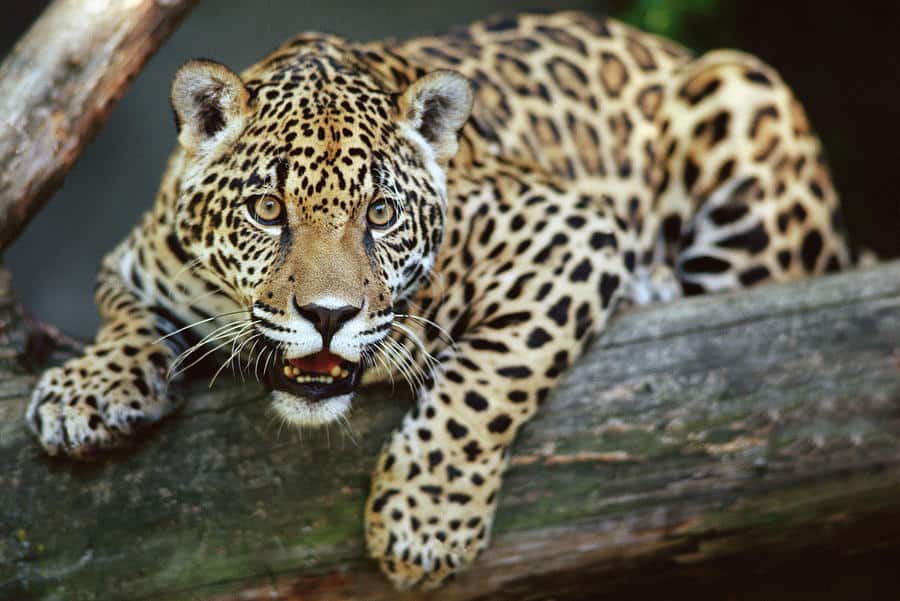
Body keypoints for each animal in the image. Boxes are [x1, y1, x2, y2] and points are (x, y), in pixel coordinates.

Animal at [25, 11, 854, 590]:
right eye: (266, 209)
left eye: (381, 214)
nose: (328, 316)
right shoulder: (136, 258)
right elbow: (122, 312)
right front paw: (85, 389)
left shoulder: (571, 227)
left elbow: (490, 379)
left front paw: (423, 524)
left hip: (744, 89)